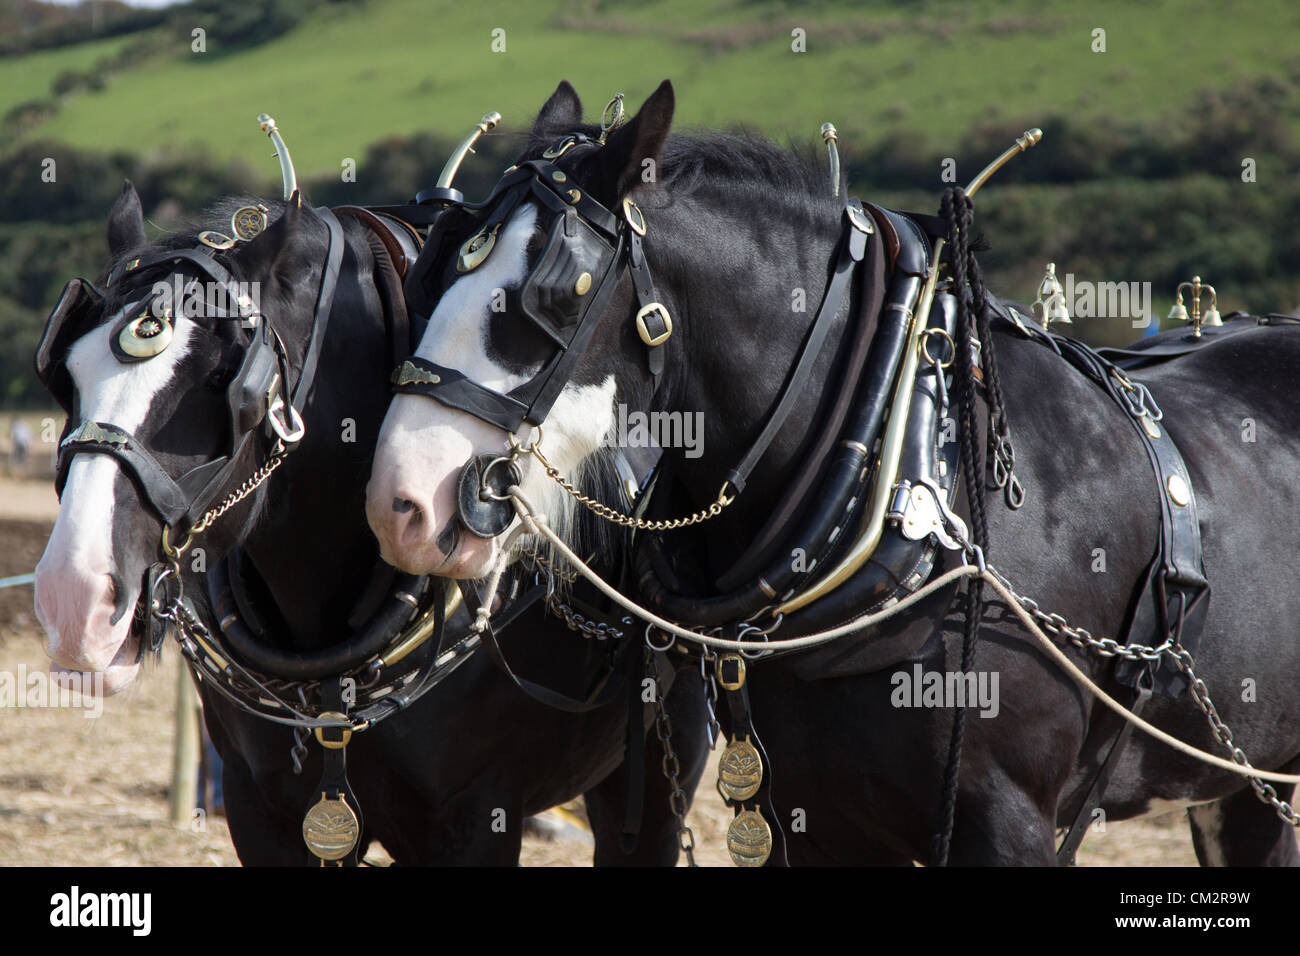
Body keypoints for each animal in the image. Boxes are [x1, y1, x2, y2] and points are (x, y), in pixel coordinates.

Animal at [365, 78, 1300, 865]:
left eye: (554, 295)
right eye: (440, 264)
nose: (401, 505)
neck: (929, 482)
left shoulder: (1010, 824)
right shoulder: (816, 818)